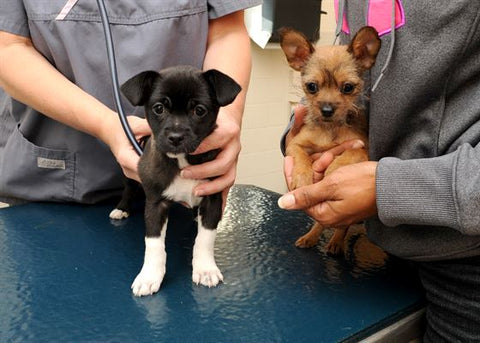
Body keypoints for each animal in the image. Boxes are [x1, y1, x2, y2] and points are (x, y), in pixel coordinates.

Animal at [116, 66, 242, 296]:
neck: (182, 160)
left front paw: (205, 269)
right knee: (129, 188)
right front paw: (149, 275)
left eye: (199, 110)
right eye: (159, 108)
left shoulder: (212, 198)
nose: (175, 137)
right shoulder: (155, 203)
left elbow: (205, 238)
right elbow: (154, 244)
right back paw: (121, 209)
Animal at [280, 26, 380, 255]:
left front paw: (334, 169)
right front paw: (302, 176)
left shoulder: (364, 149)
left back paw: (336, 243)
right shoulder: (295, 144)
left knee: (342, 226)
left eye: (348, 87)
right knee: (320, 222)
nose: (326, 110)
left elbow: (350, 153)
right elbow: (301, 156)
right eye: (311, 86)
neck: (329, 128)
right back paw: (310, 237)